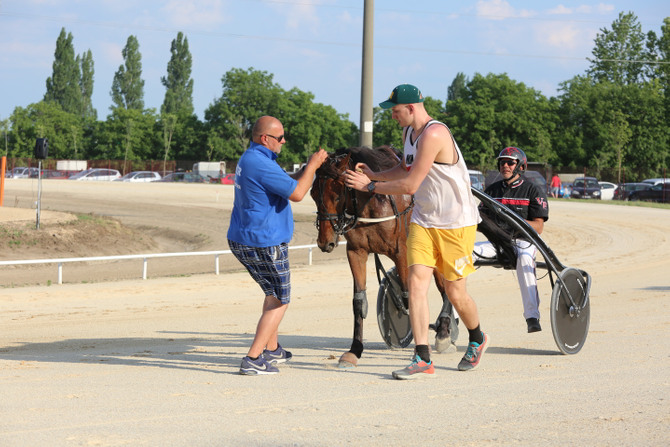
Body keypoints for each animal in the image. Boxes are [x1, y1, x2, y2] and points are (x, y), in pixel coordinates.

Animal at [310, 147, 456, 368]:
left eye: (336, 195)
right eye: (312, 194)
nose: (324, 242)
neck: (370, 204)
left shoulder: (401, 253)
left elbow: (407, 298)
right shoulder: (356, 252)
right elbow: (359, 302)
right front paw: (354, 350)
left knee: (445, 288)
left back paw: (445, 330)